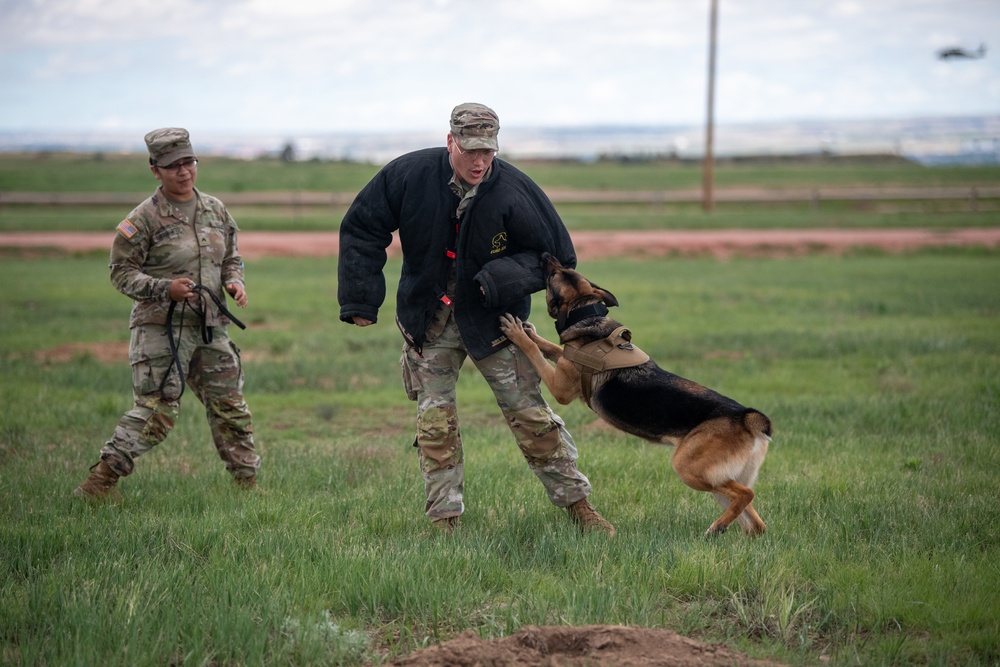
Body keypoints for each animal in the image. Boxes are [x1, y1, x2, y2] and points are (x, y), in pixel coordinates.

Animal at [500, 256, 772, 536]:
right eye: (563, 271)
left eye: (554, 275)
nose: (547, 256)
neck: (587, 313)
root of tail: (748, 418)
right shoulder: (564, 361)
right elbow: (549, 347)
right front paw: (530, 332)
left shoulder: (560, 387)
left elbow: (535, 352)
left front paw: (518, 334)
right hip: (716, 477)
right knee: (755, 523)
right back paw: (726, 529)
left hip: (690, 468)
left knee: (746, 494)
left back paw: (716, 526)